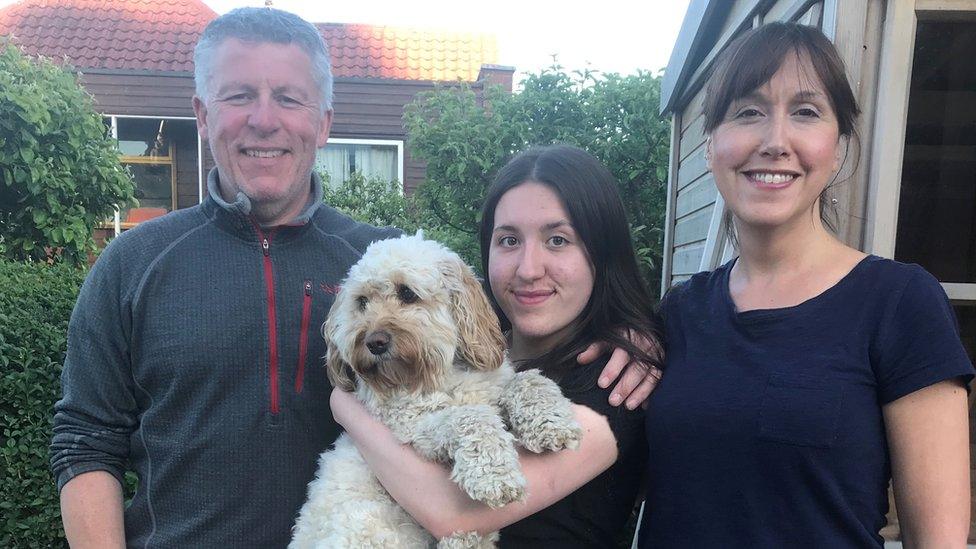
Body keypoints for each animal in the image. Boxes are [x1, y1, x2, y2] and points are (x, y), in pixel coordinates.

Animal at [288, 233, 580, 544]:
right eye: (362, 301)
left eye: (406, 293)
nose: (374, 342)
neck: (440, 374)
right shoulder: (414, 428)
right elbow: (469, 417)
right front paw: (494, 475)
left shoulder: (493, 386)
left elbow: (527, 380)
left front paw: (552, 422)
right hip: (370, 526)